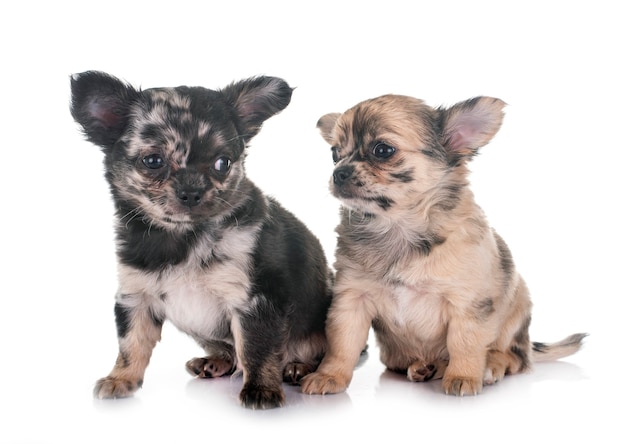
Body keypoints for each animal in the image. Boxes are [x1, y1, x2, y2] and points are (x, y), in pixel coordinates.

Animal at [69, 70, 332, 410]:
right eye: (153, 161)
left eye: (223, 163)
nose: (192, 191)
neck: (183, 238)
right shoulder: (136, 297)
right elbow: (131, 344)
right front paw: (120, 379)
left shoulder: (255, 302)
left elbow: (257, 350)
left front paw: (261, 390)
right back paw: (215, 361)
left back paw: (298, 367)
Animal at [302, 93, 584, 396]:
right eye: (334, 153)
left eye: (383, 150)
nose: (339, 173)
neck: (398, 228)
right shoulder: (352, 300)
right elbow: (342, 345)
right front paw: (329, 376)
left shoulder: (468, 303)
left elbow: (464, 342)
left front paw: (463, 376)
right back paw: (426, 366)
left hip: (516, 310)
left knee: (515, 357)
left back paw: (489, 366)